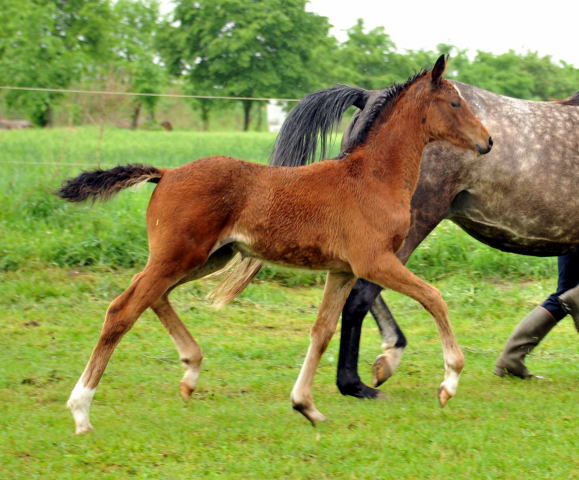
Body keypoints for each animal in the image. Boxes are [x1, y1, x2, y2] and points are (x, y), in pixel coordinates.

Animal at [61, 54, 492, 434]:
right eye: (455, 102)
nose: (487, 141)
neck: (372, 177)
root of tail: (165, 173)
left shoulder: (341, 270)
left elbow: (322, 331)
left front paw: (306, 406)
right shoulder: (374, 261)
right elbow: (433, 297)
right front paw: (449, 382)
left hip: (208, 258)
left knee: (153, 297)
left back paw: (190, 371)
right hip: (179, 256)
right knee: (123, 309)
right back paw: (81, 410)